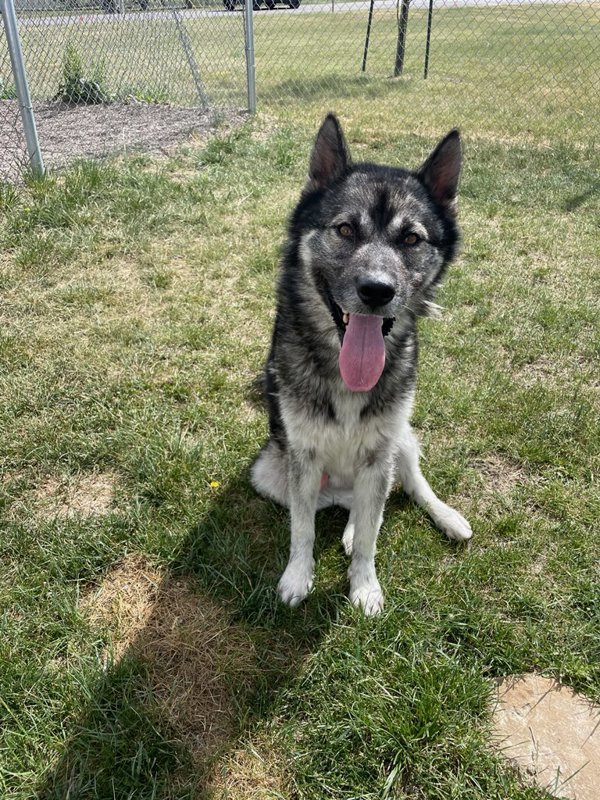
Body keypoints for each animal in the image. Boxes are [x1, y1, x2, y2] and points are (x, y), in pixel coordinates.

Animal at [250, 112, 474, 616]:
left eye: (411, 238)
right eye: (346, 230)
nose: (377, 290)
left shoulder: (379, 452)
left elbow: (373, 534)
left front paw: (365, 586)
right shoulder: (302, 457)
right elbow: (302, 530)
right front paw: (297, 577)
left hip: (400, 440)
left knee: (400, 492)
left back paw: (445, 516)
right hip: (269, 471)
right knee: (341, 507)